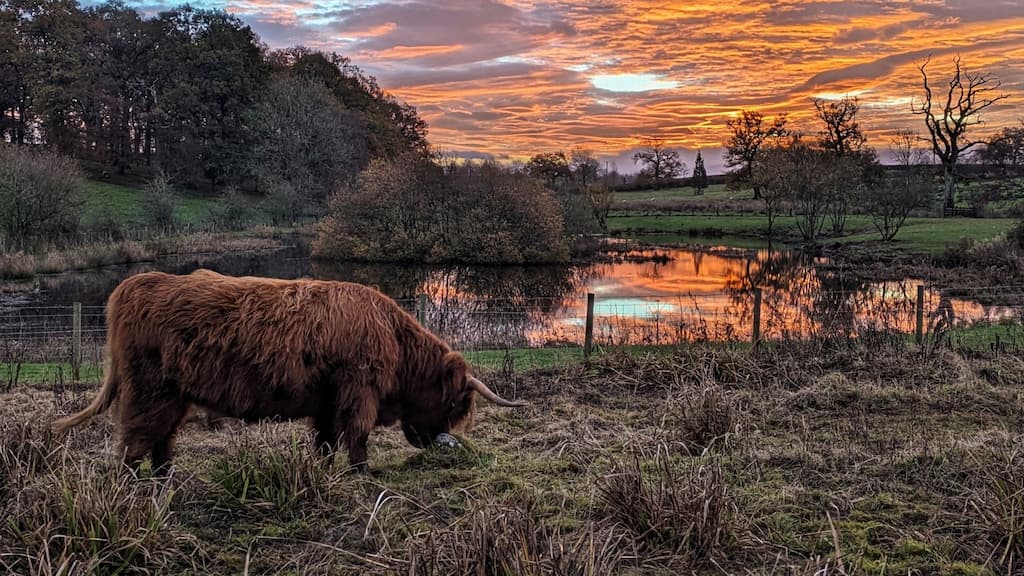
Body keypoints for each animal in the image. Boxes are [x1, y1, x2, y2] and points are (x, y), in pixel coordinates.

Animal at [51, 269, 525, 474]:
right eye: (456, 402)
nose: (433, 442)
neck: (394, 338)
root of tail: (137, 283)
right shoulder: (360, 390)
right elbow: (357, 436)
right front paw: (362, 474)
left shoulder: (328, 400)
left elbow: (326, 441)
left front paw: (325, 473)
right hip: (151, 390)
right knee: (135, 441)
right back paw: (140, 488)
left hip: (174, 396)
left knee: (160, 439)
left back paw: (167, 480)